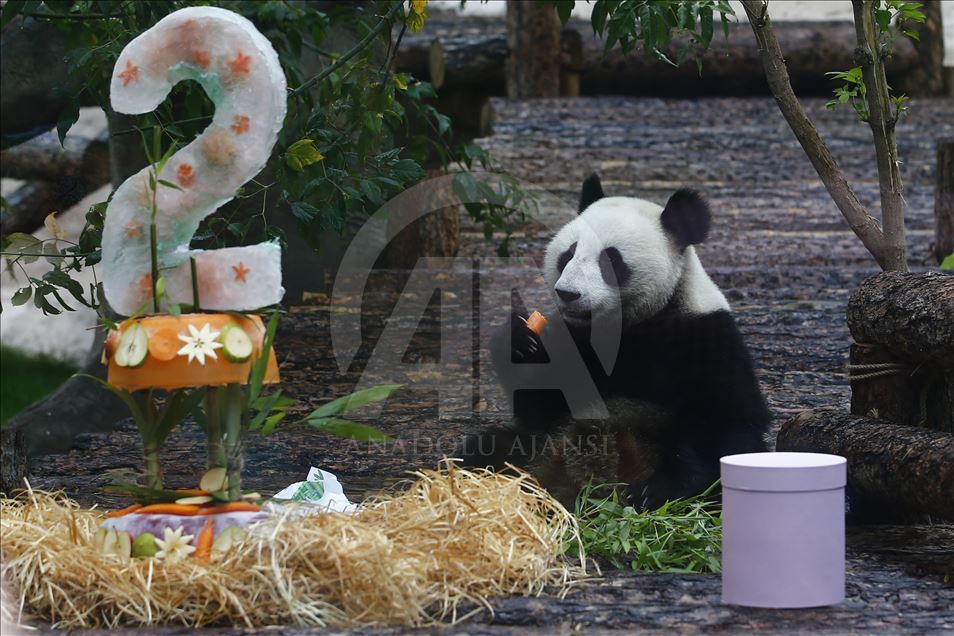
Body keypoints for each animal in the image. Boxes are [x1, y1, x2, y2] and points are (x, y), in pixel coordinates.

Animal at [458, 174, 768, 512]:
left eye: (610, 259)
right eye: (568, 254)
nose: (567, 293)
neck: (627, 324)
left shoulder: (705, 337)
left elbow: (724, 423)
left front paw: (656, 492)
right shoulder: (572, 338)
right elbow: (541, 406)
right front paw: (520, 339)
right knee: (488, 448)